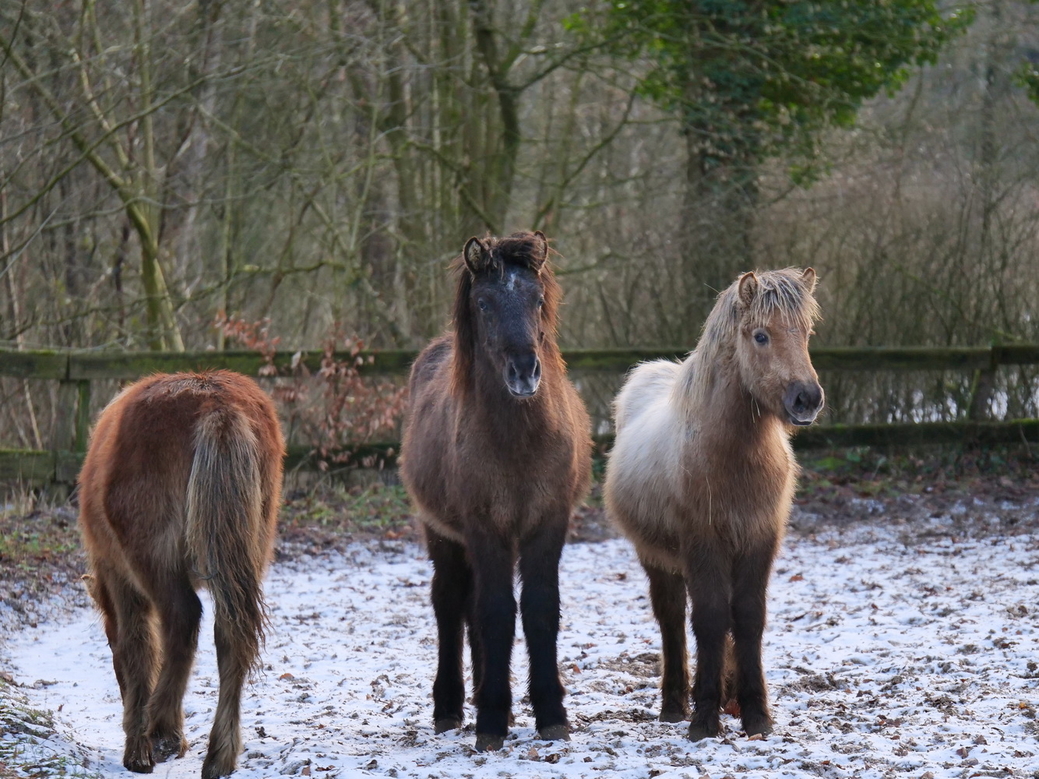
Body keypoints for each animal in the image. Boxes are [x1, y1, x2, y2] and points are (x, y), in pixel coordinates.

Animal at [77, 369, 284, 776]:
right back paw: (220, 754)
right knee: (231, 633)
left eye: (108, 643)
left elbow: (139, 645)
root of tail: (217, 404)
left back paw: (159, 728)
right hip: (244, 557)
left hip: (154, 560)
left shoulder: (121, 580)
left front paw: (139, 745)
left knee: (183, 619)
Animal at [398, 230, 594, 751]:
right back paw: (450, 707)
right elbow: (496, 612)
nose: (524, 371)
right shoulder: (485, 527)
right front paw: (489, 720)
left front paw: (551, 714)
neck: (518, 443)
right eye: (483, 303)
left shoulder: (548, 523)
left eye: (538, 299)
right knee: (451, 603)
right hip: (443, 534)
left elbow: (539, 609)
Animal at [606, 267, 822, 743]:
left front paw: (755, 713)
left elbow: (747, 618)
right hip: (658, 557)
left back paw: (728, 697)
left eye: (806, 333)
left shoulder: (759, 540)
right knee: (671, 618)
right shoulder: (703, 543)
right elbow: (707, 619)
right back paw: (675, 705)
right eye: (760, 335)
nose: (807, 399)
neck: (732, 457)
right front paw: (704, 718)